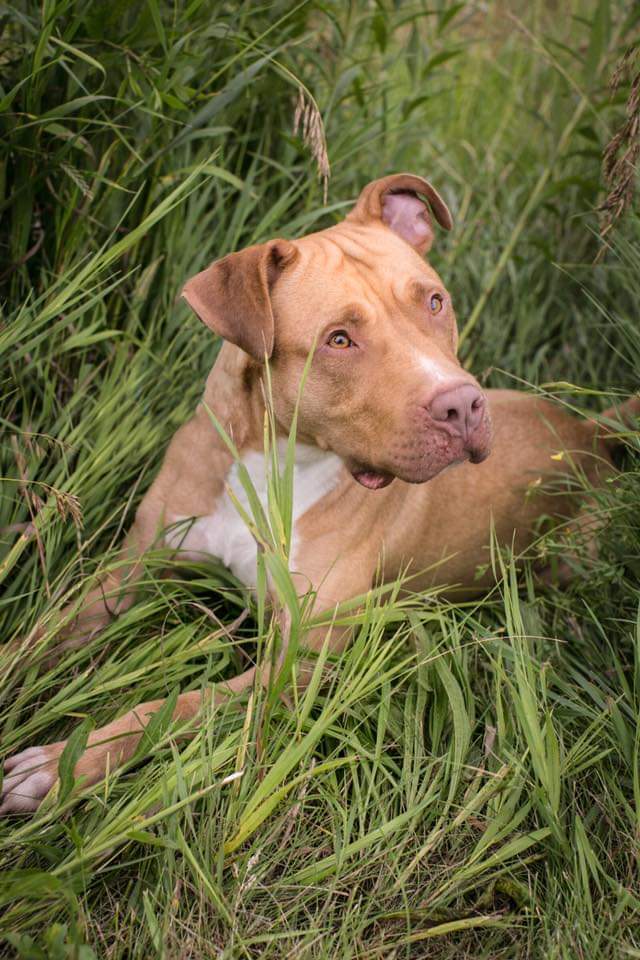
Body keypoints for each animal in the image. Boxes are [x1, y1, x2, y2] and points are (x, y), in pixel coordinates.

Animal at [0, 172, 636, 808]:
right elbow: (44, 635)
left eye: (434, 301)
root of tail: (591, 431)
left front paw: (63, 765)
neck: (278, 464)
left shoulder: (299, 661)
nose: (461, 406)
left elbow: (180, 706)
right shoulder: (135, 566)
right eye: (339, 340)